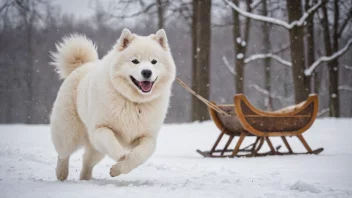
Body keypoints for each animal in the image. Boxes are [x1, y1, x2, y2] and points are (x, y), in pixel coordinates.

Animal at [49, 28, 176, 180]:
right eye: (135, 61)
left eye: (154, 61)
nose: (146, 72)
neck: (134, 102)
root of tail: (81, 65)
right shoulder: (101, 128)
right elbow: (111, 142)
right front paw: (121, 155)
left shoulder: (148, 137)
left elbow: (138, 156)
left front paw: (117, 169)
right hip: (69, 133)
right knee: (63, 153)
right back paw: (61, 173)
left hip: (95, 150)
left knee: (87, 161)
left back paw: (85, 178)